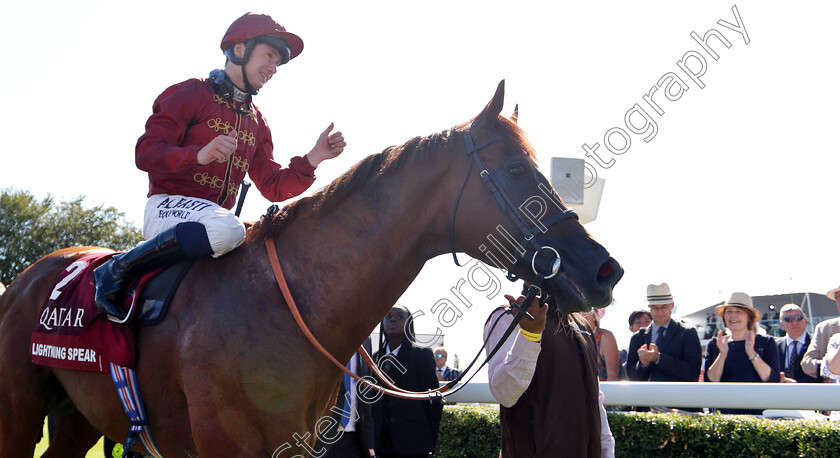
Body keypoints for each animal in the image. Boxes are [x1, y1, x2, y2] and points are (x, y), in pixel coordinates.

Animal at [0, 80, 620, 456]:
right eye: (516, 171)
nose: (604, 270)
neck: (289, 302)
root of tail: (27, 277)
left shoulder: (295, 443)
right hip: (19, 410)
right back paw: (109, 282)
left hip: (77, 416)